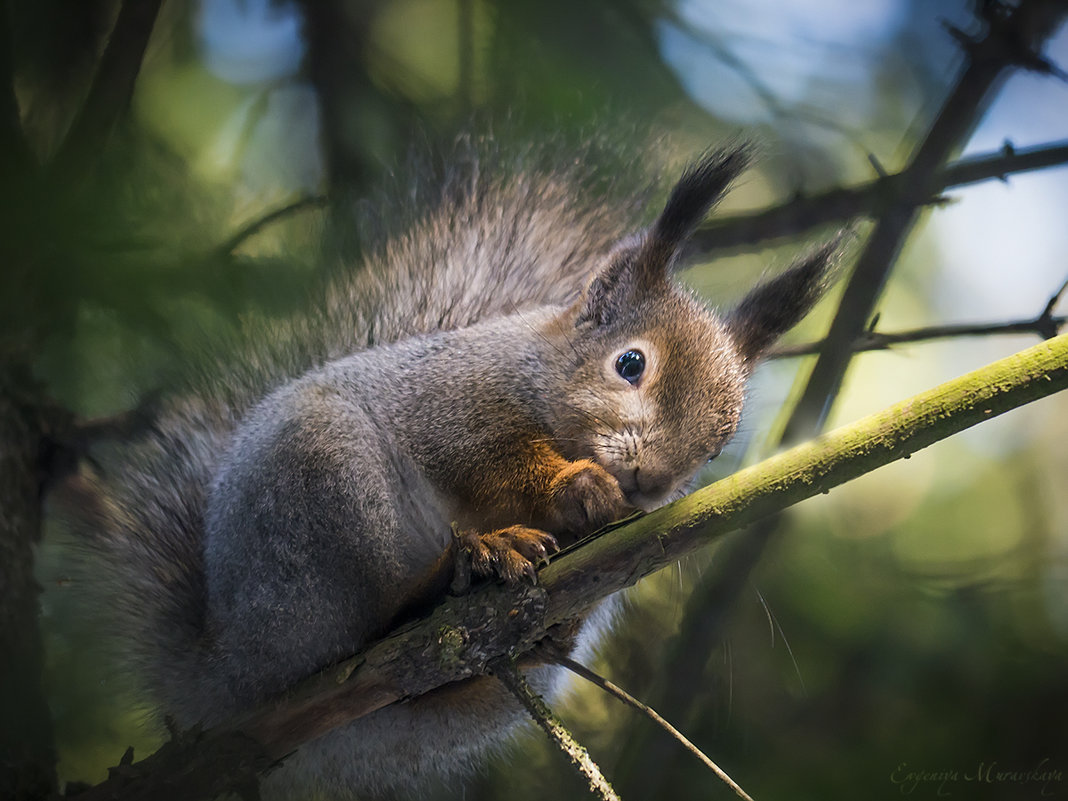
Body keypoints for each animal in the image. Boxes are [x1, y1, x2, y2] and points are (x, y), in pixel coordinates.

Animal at [62, 140, 837, 798]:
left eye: (718, 446)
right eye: (630, 364)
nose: (650, 483)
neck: (536, 369)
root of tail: (223, 680)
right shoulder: (453, 403)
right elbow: (487, 461)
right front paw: (573, 486)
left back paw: (530, 632)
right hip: (319, 491)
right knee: (363, 622)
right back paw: (461, 565)